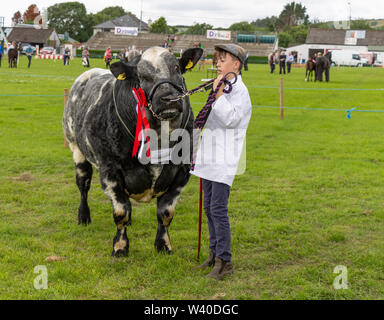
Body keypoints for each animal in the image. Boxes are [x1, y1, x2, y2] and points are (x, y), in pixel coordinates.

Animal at [62, 47, 204, 258]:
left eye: (177, 68)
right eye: (141, 76)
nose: (168, 98)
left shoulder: (182, 172)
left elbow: (165, 213)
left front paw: (163, 245)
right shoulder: (110, 171)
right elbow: (121, 211)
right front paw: (120, 247)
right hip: (76, 148)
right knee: (83, 185)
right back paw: (83, 216)